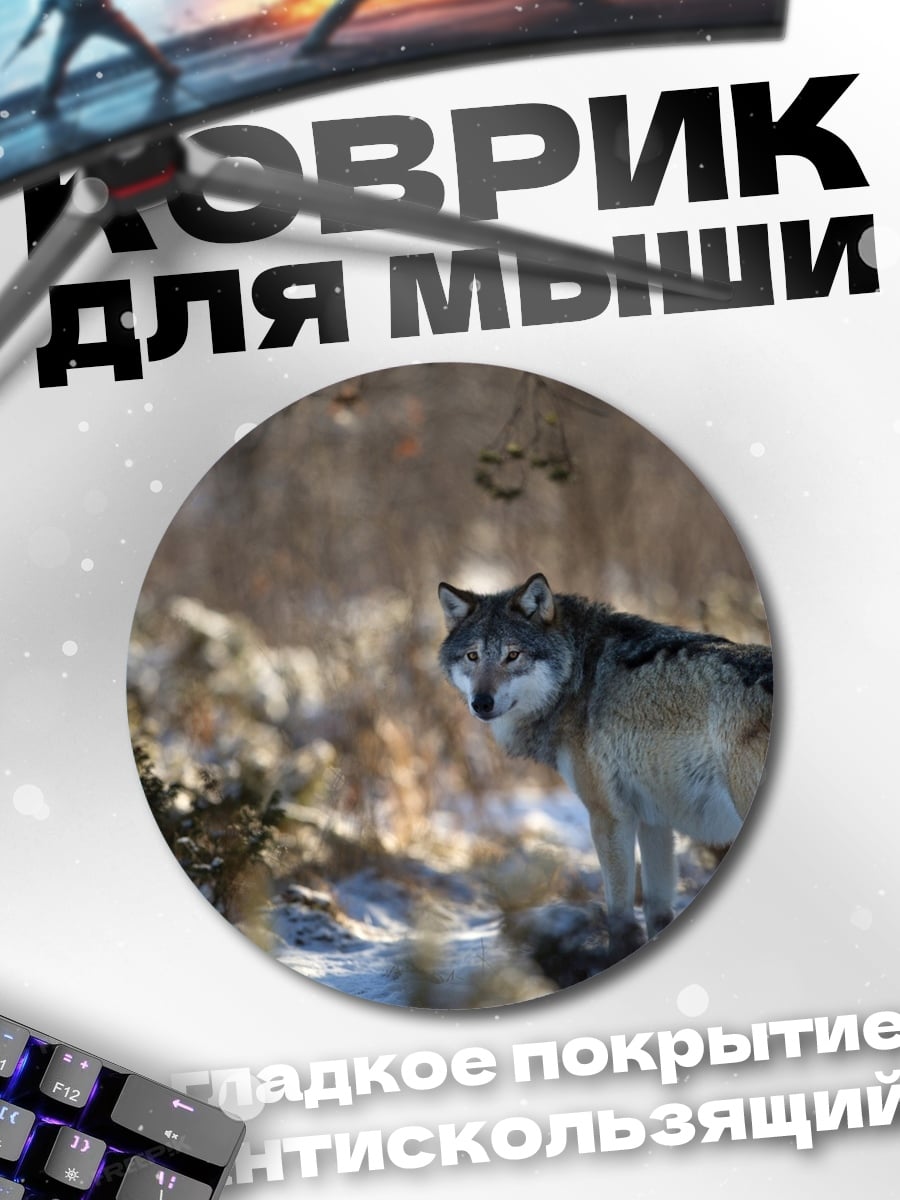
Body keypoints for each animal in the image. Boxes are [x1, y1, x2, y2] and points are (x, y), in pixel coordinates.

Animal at [438, 573, 772, 966]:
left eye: (513, 655)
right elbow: (658, 914)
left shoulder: (608, 817)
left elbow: (620, 916)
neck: (577, 673)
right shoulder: (654, 821)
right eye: (473, 656)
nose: (481, 702)